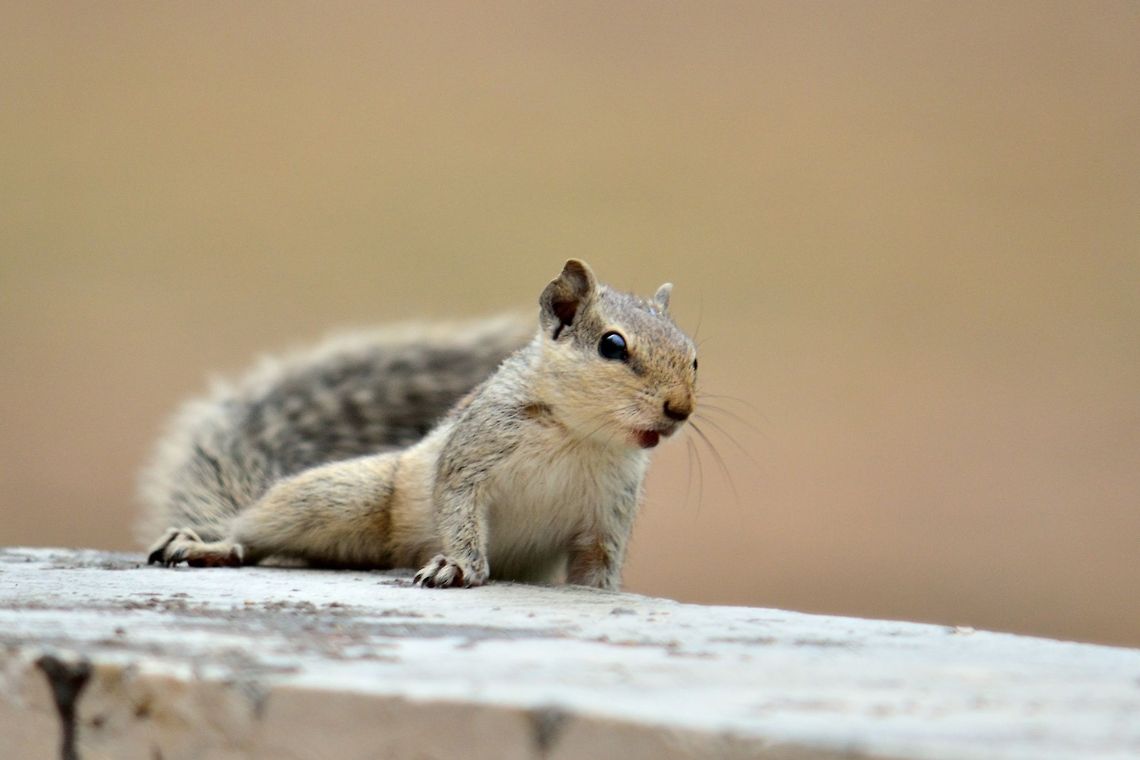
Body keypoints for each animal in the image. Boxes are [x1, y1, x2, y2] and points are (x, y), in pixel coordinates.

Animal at [141, 259, 697, 589]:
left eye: (694, 356)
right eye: (612, 345)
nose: (680, 408)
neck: (579, 436)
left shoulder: (607, 512)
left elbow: (598, 565)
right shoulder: (471, 456)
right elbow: (457, 509)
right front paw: (459, 566)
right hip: (338, 498)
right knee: (254, 530)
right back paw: (212, 544)